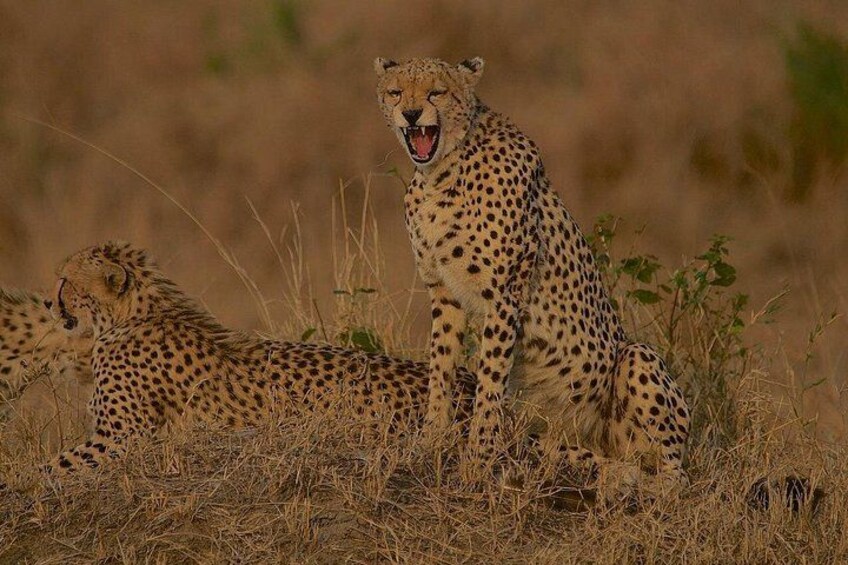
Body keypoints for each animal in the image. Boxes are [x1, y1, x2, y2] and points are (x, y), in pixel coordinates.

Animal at [374, 56, 690, 489]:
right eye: (395, 92)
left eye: (436, 92)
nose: (410, 114)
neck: (443, 171)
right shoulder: (444, 291)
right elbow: (441, 369)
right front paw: (429, 442)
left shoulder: (503, 296)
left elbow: (490, 382)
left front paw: (477, 460)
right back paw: (607, 472)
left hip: (635, 357)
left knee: (675, 475)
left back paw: (636, 483)